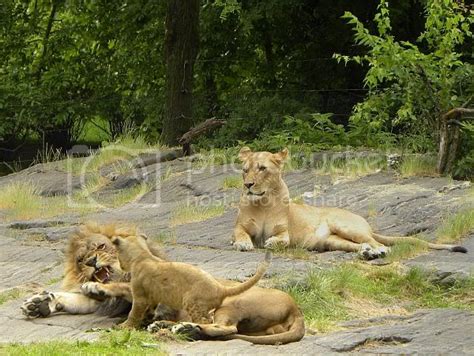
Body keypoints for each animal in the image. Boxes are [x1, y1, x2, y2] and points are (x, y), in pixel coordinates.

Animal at [108, 234, 270, 328]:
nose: (121, 266)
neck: (142, 255)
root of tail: (220, 288)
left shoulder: (140, 297)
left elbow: (133, 313)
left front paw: (124, 326)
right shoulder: (151, 297)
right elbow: (148, 310)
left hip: (190, 301)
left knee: (203, 322)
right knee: (208, 318)